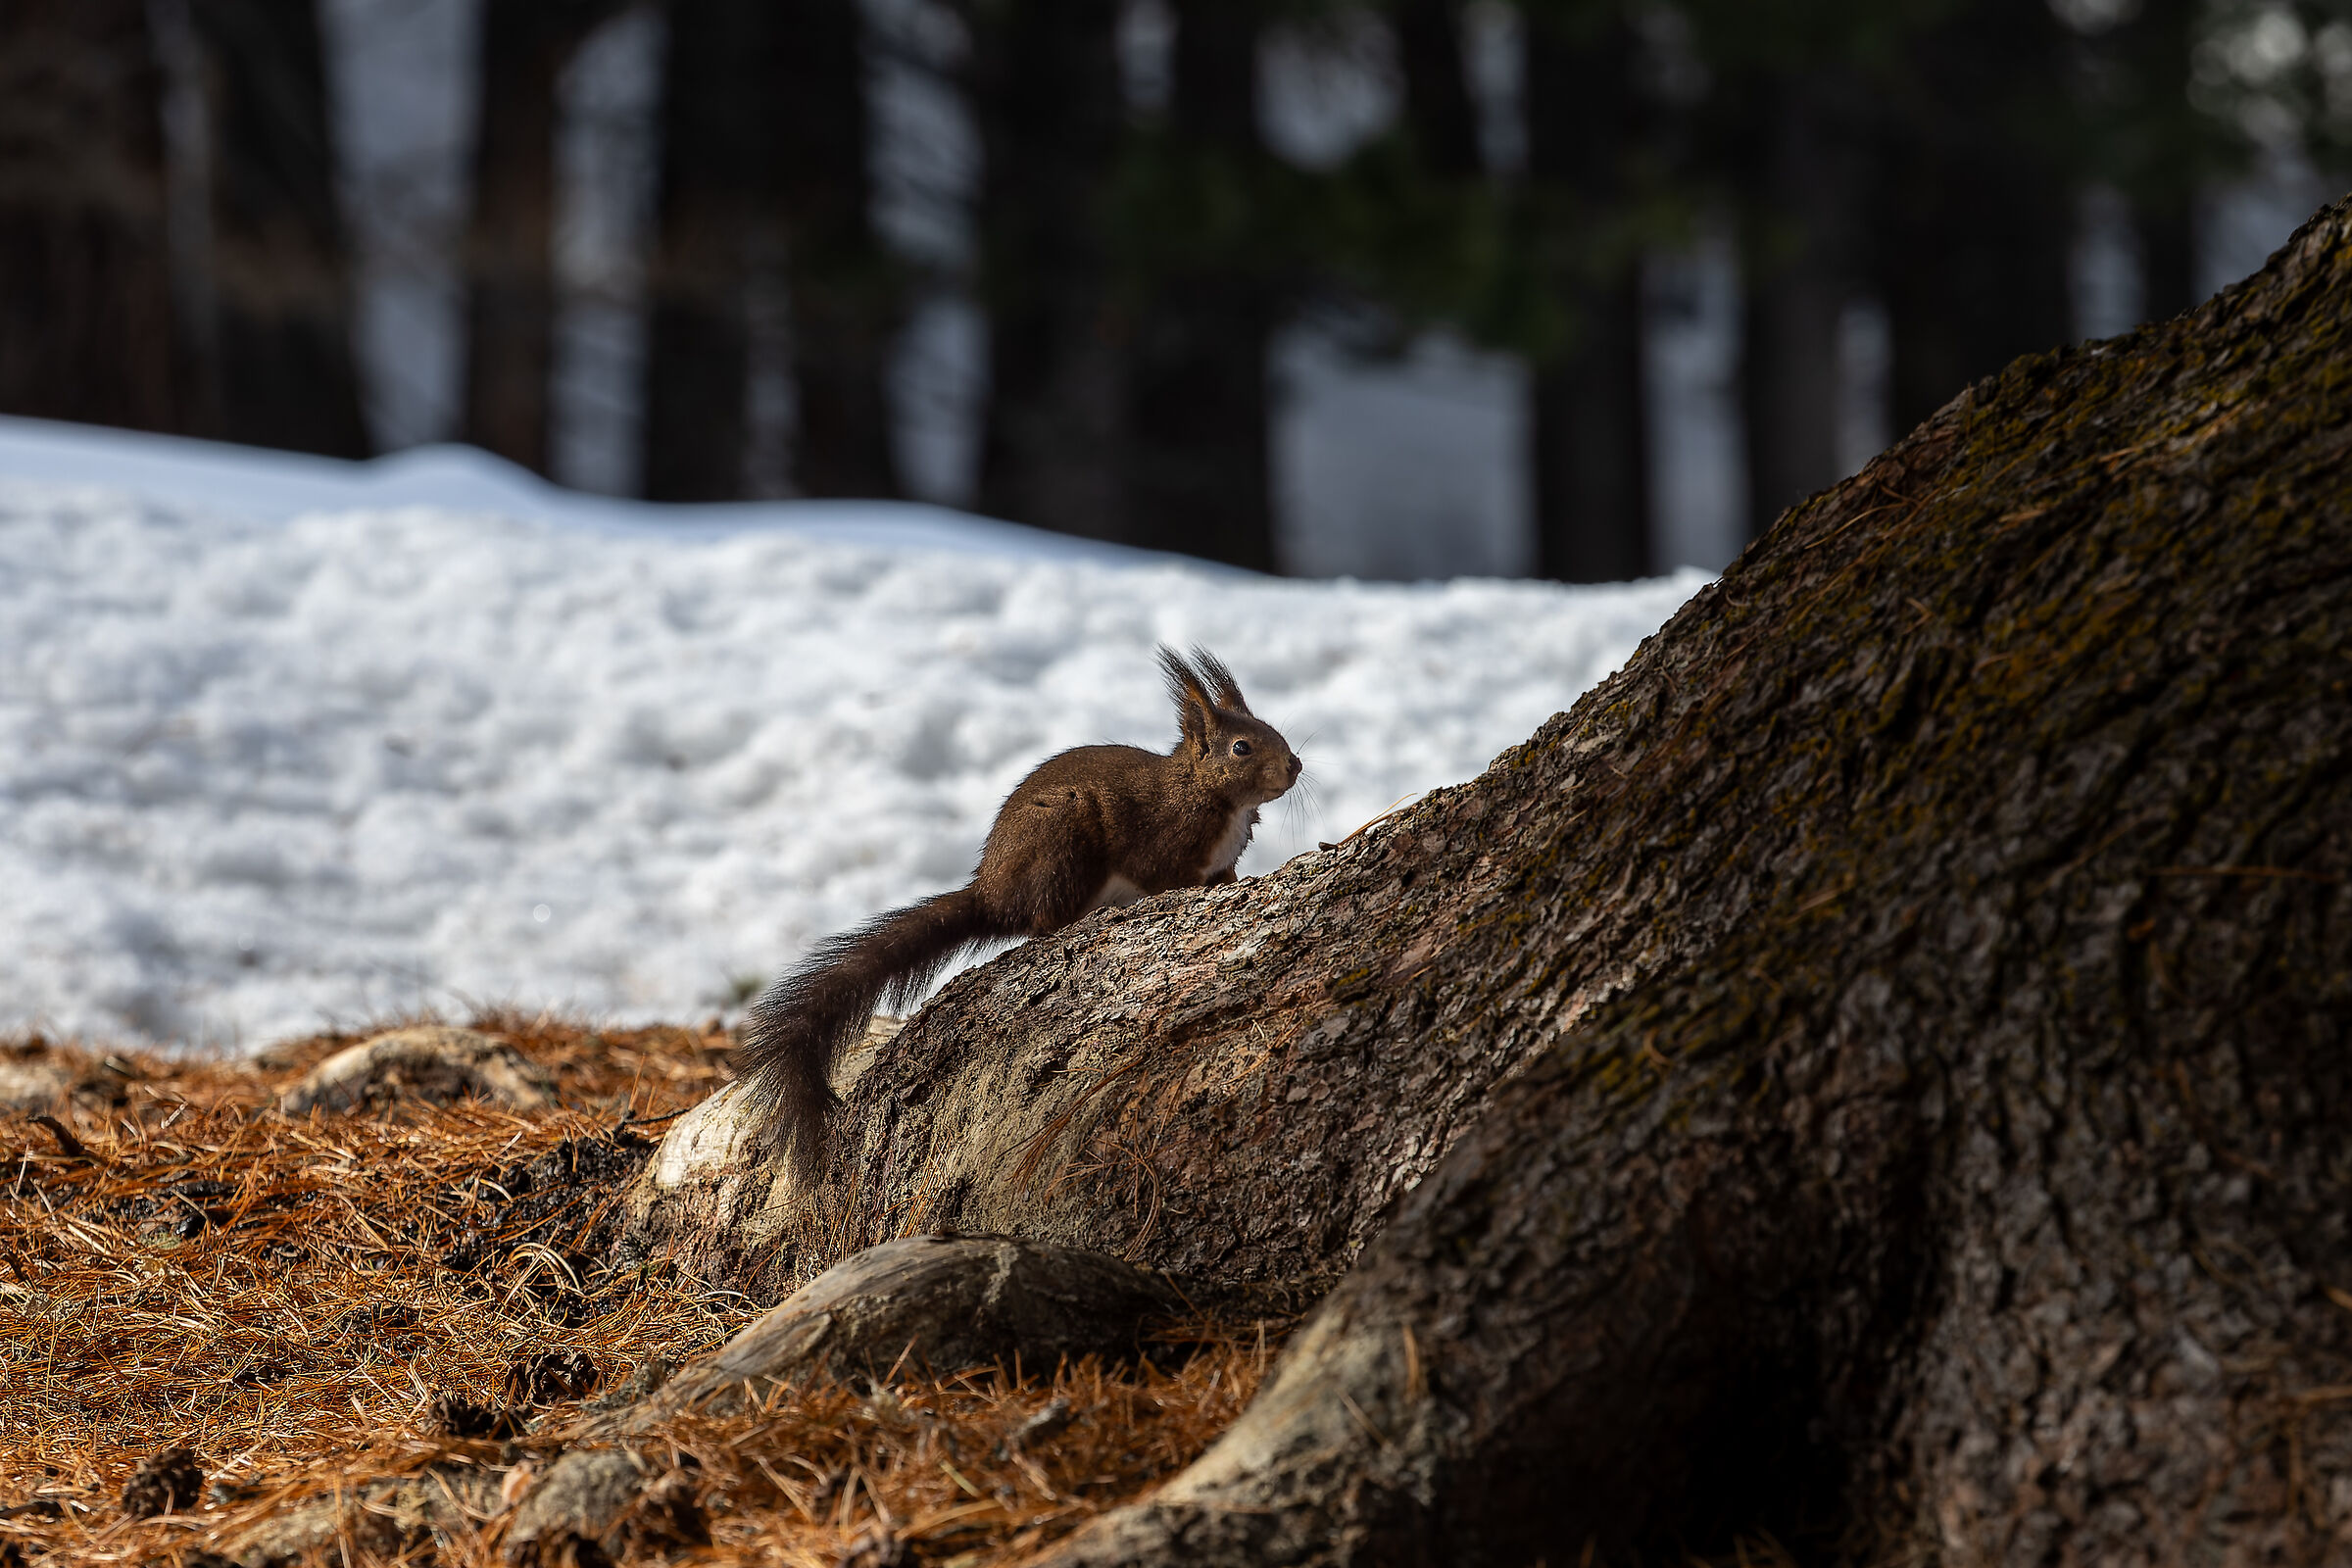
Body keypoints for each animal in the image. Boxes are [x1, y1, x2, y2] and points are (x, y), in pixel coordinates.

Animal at [736, 645, 1302, 1181]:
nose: (1295, 766)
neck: (1207, 794)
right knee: (1043, 921)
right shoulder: (1161, 845)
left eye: (1273, 730)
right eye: (1242, 747)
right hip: (1063, 845)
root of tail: (992, 894)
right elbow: (1167, 878)